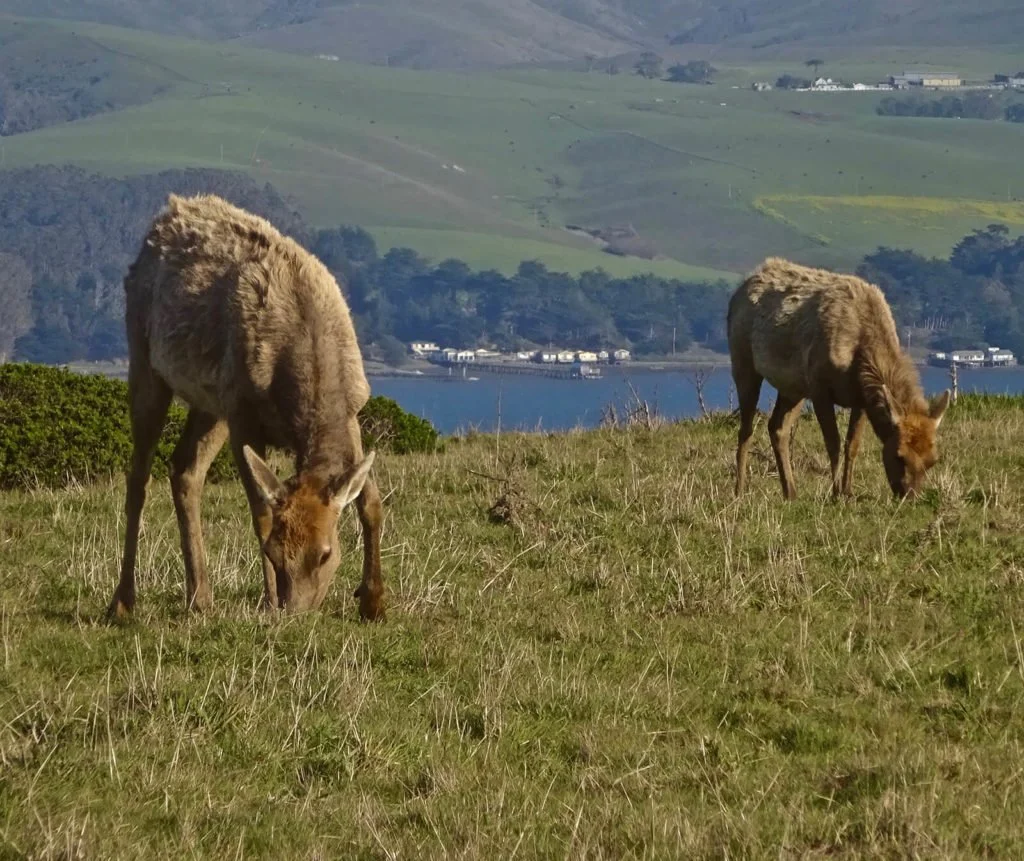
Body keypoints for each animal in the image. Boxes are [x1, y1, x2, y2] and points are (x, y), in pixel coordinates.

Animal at [107, 194, 385, 620]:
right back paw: (122, 601)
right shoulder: (243, 415)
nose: (297, 610)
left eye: (325, 554)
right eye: (274, 553)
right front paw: (270, 600)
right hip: (145, 357)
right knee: (139, 476)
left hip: (211, 399)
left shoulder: (354, 410)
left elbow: (370, 500)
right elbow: (262, 512)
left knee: (184, 468)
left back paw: (200, 597)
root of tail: (166, 216)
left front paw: (374, 602)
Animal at [728, 257, 950, 501]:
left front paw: (848, 491)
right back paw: (739, 490)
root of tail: (739, 290)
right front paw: (835, 494)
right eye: (898, 455)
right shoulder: (819, 386)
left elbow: (852, 444)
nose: (910, 496)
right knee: (746, 429)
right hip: (742, 361)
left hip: (793, 387)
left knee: (777, 427)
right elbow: (832, 442)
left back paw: (791, 492)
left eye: (933, 460)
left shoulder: (861, 398)